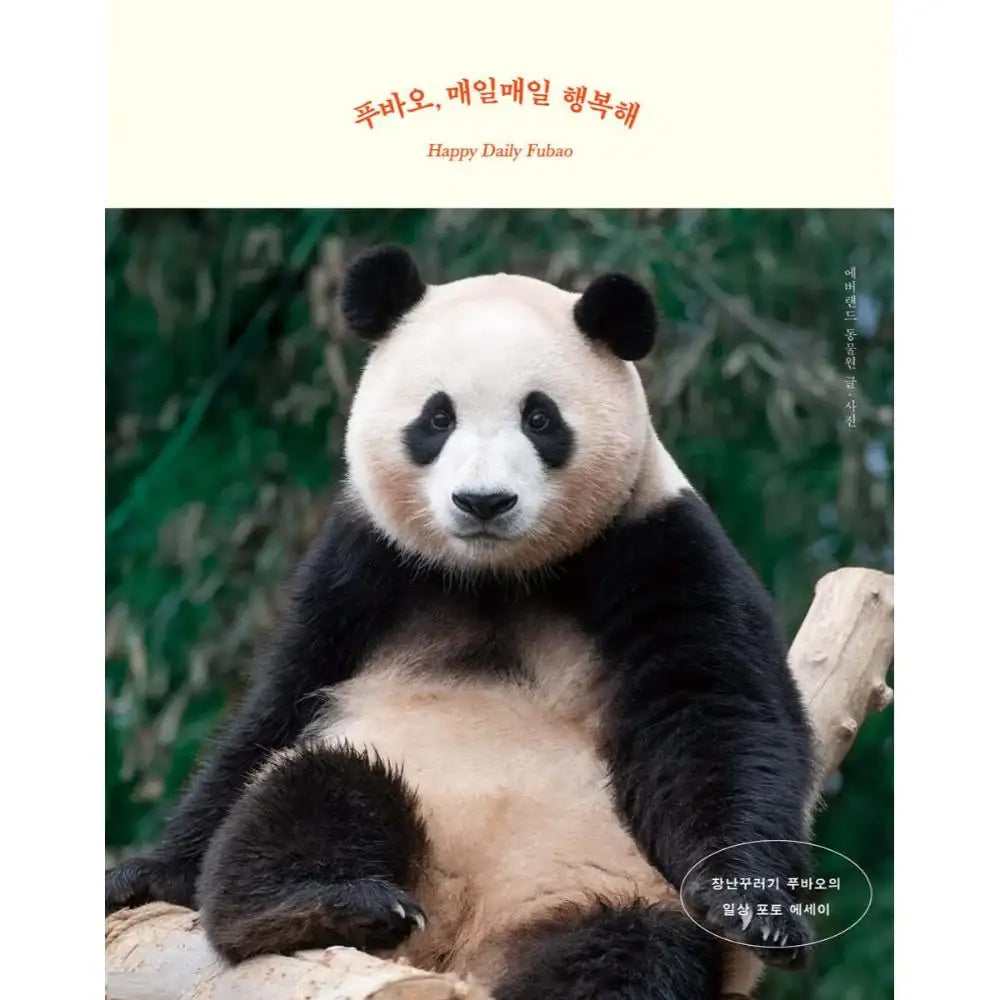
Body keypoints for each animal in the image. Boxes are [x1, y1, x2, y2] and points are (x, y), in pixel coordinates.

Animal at [106, 245, 817, 1000]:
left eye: (540, 419)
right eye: (436, 418)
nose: (483, 502)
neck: (494, 575)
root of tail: (452, 945)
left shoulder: (657, 547)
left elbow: (715, 717)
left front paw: (756, 911)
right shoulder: (364, 566)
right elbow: (280, 702)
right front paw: (148, 873)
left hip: (599, 888)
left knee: (634, 953)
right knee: (321, 789)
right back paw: (320, 905)